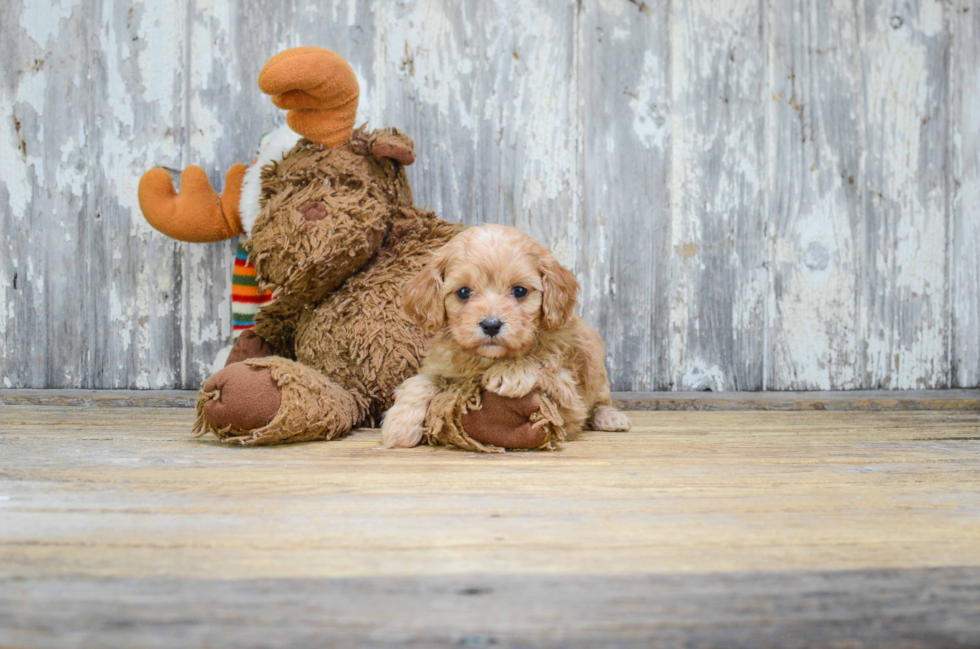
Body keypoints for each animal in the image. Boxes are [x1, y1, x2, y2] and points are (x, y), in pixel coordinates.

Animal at [378, 223, 632, 446]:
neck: (487, 359)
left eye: (519, 291)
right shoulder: (440, 367)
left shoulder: (568, 398)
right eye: (463, 292)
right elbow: (421, 381)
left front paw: (510, 371)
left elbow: (540, 360)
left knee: (601, 400)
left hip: (595, 364)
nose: (491, 325)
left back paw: (611, 417)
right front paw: (400, 425)